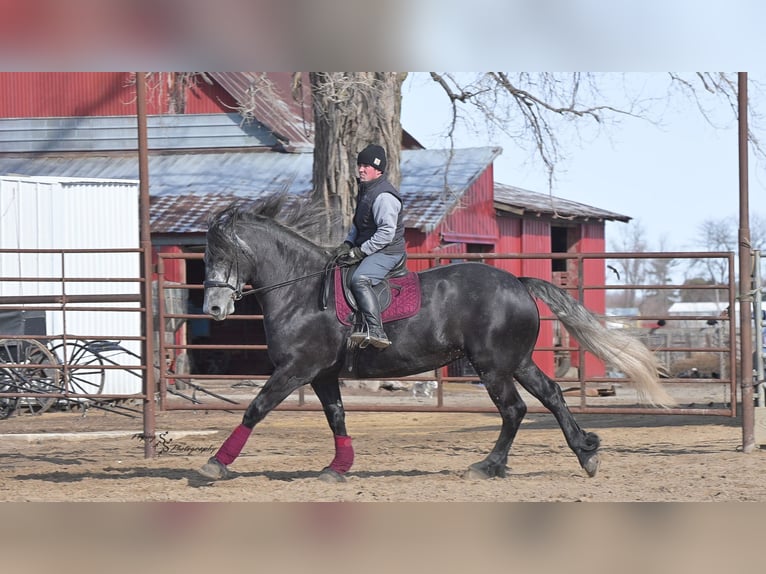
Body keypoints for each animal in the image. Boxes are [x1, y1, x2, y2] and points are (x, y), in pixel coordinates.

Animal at [197, 194, 674, 483]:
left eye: (224, 254)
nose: (213, 310)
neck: (301, 290)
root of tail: (518, 282)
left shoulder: (297, 368)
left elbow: (255, 409)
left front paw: (214, 464)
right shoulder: (322, 374)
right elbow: (337, 418)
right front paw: (338, 467)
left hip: (492, 365)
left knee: (514, 410)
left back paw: (487, 466)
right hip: (516, 361)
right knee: (552, 396)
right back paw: (586, 453)